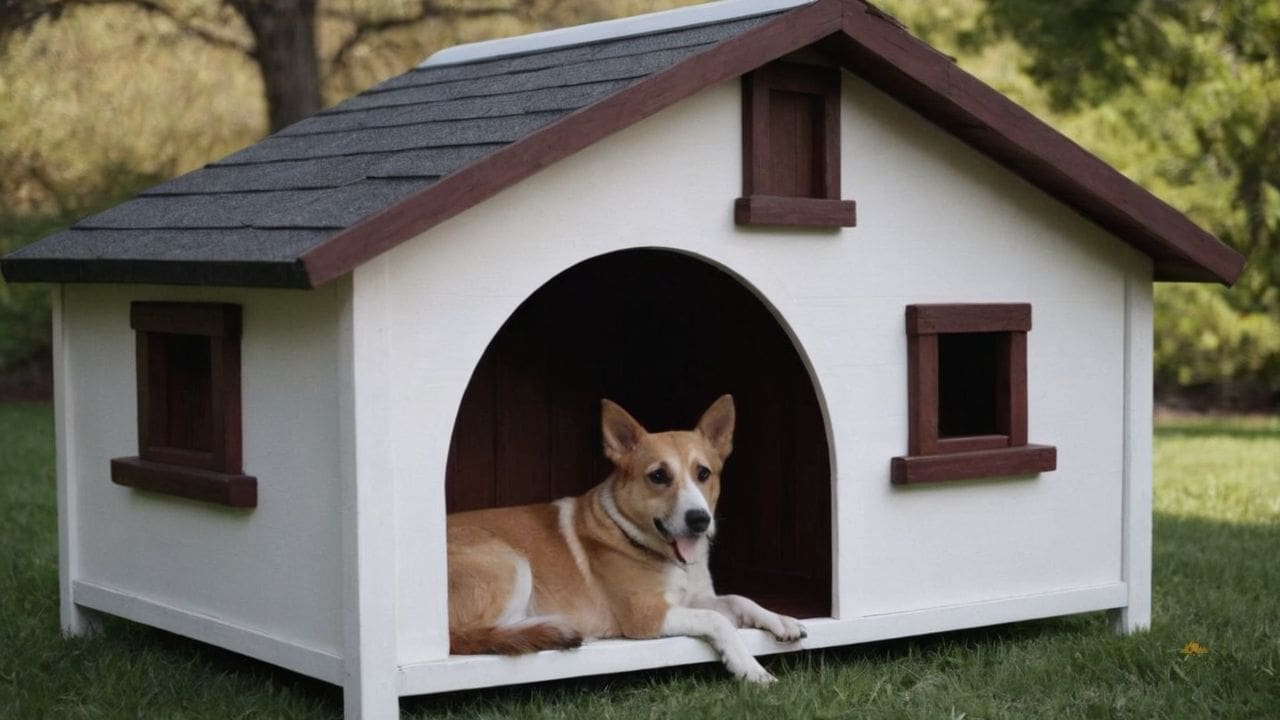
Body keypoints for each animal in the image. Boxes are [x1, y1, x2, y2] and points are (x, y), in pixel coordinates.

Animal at [450, 392, 803, 676]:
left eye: (704, 473)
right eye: (658, 476)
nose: (699, 520)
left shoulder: (696, 598)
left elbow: (738, 599)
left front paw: (779, 619)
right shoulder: (648, 616)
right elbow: (718, 620)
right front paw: (750, 668)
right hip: (511, 562)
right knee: (480, 635)